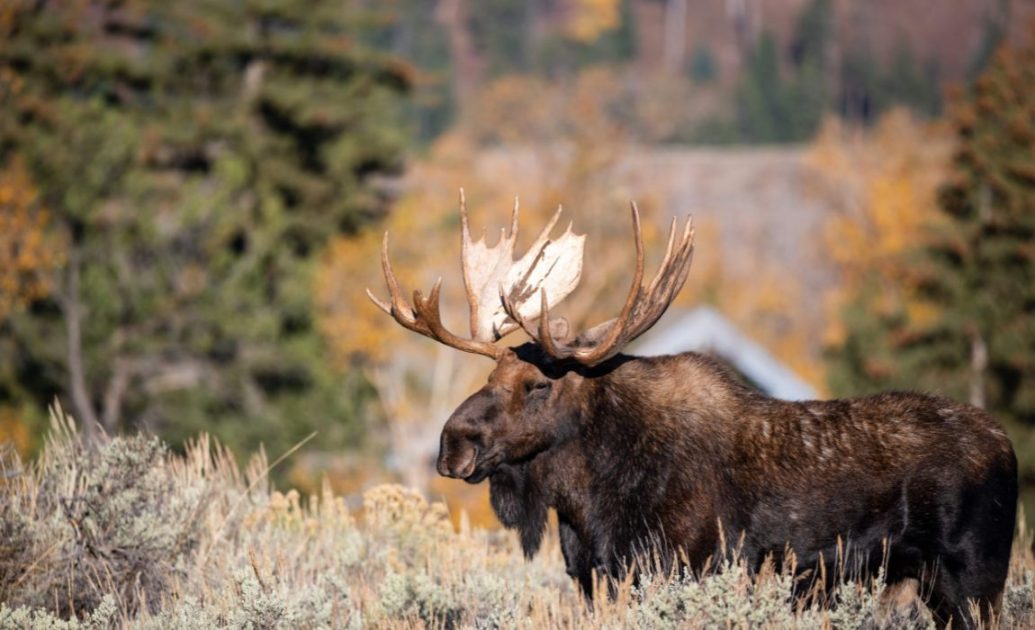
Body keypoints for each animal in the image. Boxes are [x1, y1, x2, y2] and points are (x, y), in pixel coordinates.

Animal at [368, 194, 1014, 624]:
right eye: (490, 375)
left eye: (537, 385)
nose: (452, 443)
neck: (587, 502)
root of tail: (1007, 446)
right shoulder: (593, 578)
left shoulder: (682, 566)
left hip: (974, 579)